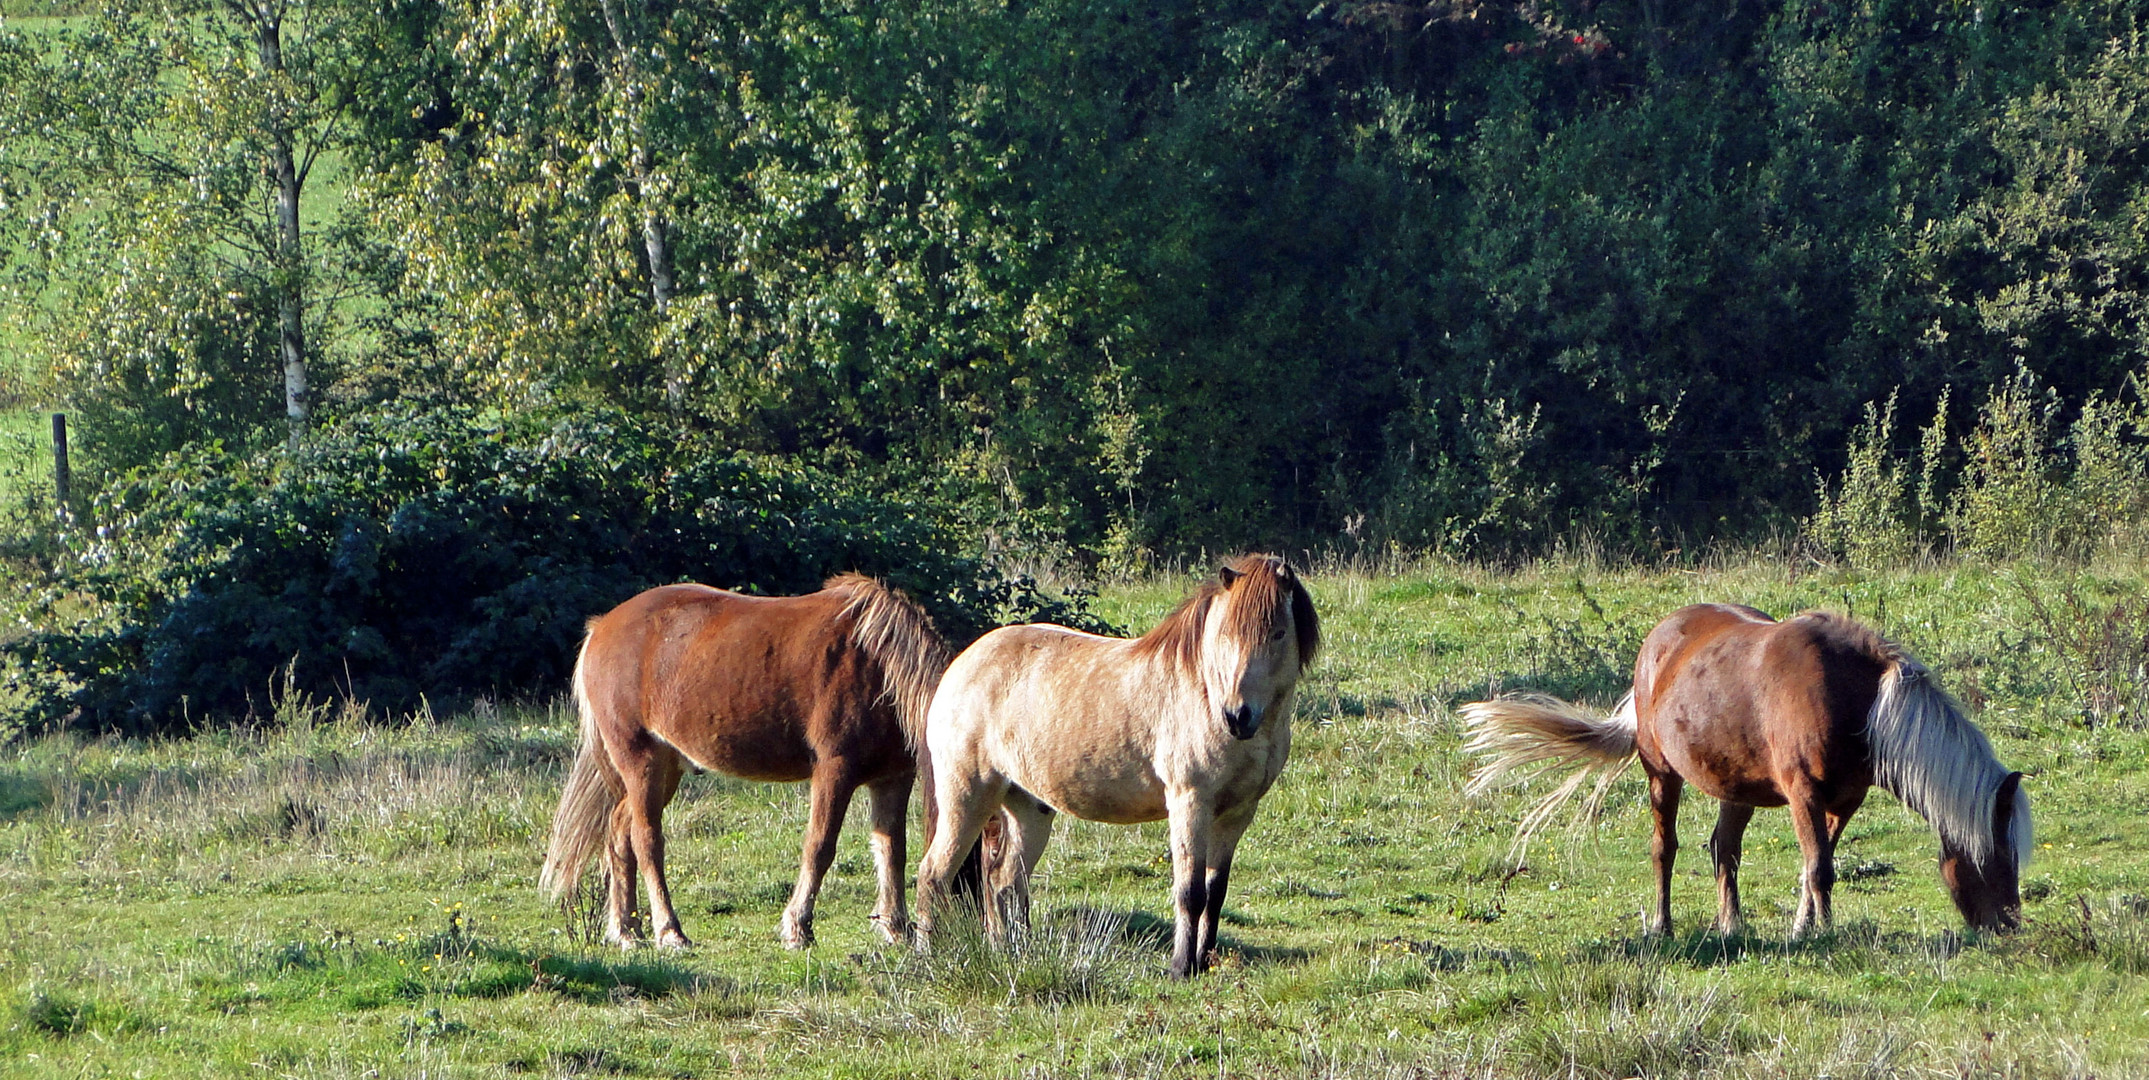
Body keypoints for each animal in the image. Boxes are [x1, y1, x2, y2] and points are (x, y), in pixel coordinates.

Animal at [545, 575, 958, 944]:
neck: (878, 665)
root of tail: (601, 627)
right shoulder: (835, 770)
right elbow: (820, 846)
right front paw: (798, 927)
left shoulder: (893, 776)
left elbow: (892, 850)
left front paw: (894, 929)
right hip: (640, 761)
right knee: (646, 840)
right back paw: (668, 931)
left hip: (665, 768)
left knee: (619, 831)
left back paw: (627, 930)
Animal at [906, 558, 1306, 979]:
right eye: (1226, 634)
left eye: (1279, 632)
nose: (1238, 716)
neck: (1204, 692)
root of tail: (960, 666)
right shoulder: (1189, 803)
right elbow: (1190, 891)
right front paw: (1182, 967)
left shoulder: (1236, 814)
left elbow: (1215, 893)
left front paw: (1204, 961)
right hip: (967, 797)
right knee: (934, 874)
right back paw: (926, 956)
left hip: (1028, 808)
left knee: (1004, 881)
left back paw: (1010, 954)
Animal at [1461, 605, 2028, 944]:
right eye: (1996, 857)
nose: (2008, 926)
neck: (1859, 700)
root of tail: (1657, 642)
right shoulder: (1804, 792)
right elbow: (1820, 869)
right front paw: (1825, 934)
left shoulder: (1844, 800)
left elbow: (1814, 866)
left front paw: (1803, 929)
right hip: (1661, 773)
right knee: (1664, 849)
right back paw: (1663, 927)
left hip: (1737, 786)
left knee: (1723, 849)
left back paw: (1731, 926)